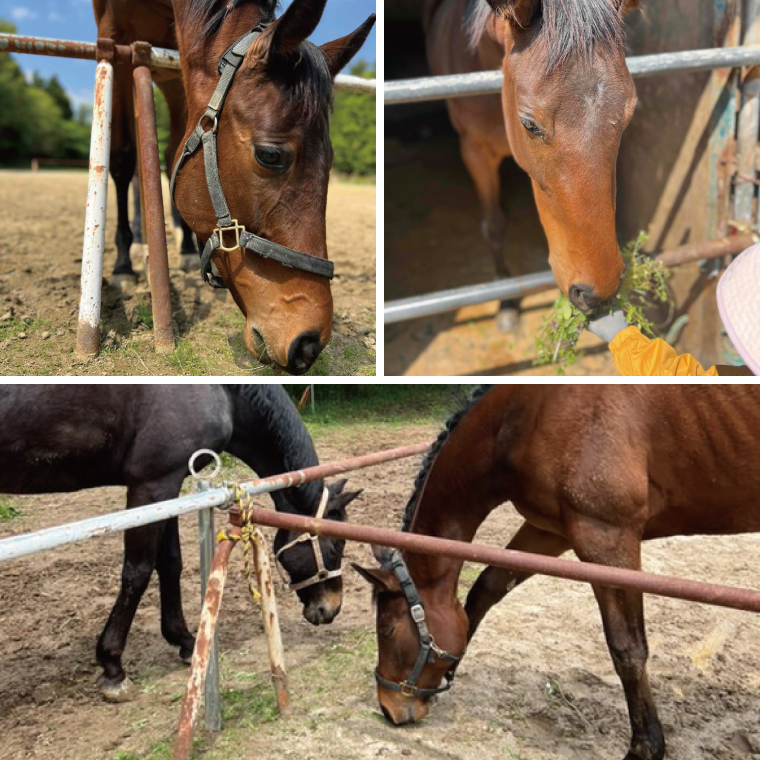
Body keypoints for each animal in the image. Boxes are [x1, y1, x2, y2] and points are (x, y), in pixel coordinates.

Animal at [0, 384, 361, 702]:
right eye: (334, 546)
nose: (331, 609)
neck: (226, 392)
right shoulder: (152, 485)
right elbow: (137, 571)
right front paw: (113, 667)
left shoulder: (169, 486)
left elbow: (171, 563)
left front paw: (185, 640)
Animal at [93, 0, 375, 374]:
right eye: (269, 155)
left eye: (329, 160)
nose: (309, 343)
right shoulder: (114, 33)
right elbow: (123, 157)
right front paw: (123, 265)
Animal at [356, 384, 760, 760]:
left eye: (387, 630)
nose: (389, 709)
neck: (526, 415)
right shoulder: (551, 530)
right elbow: (487, 587)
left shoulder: (607, 537)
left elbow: (627, 648)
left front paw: (645, 747)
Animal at [424, 0, 639, 328]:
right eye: (529, 124)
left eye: (629, 114)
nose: (597, 294)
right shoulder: (474, 151)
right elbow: (494, 225)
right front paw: (506, 301)